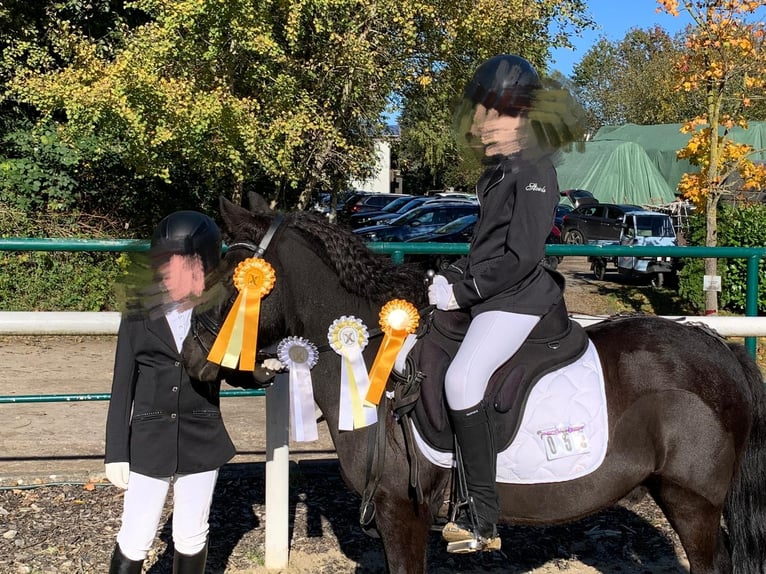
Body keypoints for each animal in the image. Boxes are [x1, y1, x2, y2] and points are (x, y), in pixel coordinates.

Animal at [184, 196, 766, 572]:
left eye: (230, 280)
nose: (193, 356)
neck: (367, 354)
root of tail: (720, 349)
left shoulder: (402, 514)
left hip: (693, 505)